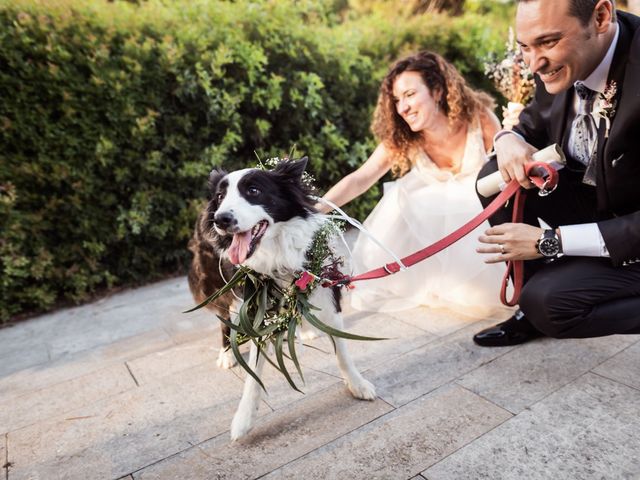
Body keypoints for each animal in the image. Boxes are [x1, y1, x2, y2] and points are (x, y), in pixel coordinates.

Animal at [188, 158, 376, 438]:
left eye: (253, 191)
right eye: (221, 196)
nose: (221, 219)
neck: (276, 255)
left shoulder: (324, 285)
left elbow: (342, 348)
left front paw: (357, 384)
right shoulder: (254, 306)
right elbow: (253, 375)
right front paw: (243, 419)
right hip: (215, 282)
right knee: (223, 320)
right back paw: (226, 354)